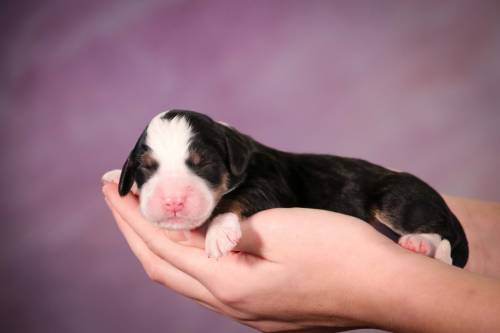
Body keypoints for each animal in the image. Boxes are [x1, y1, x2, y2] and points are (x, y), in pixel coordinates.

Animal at [102, 110, 468, 266]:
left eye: (202, 163)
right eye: (146, 168)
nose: (173, 202)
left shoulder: (268, 185)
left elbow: (232, 202)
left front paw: (219, 233)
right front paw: (116, 176)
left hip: (397, 198)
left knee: (438, 235)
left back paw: (418, 243)